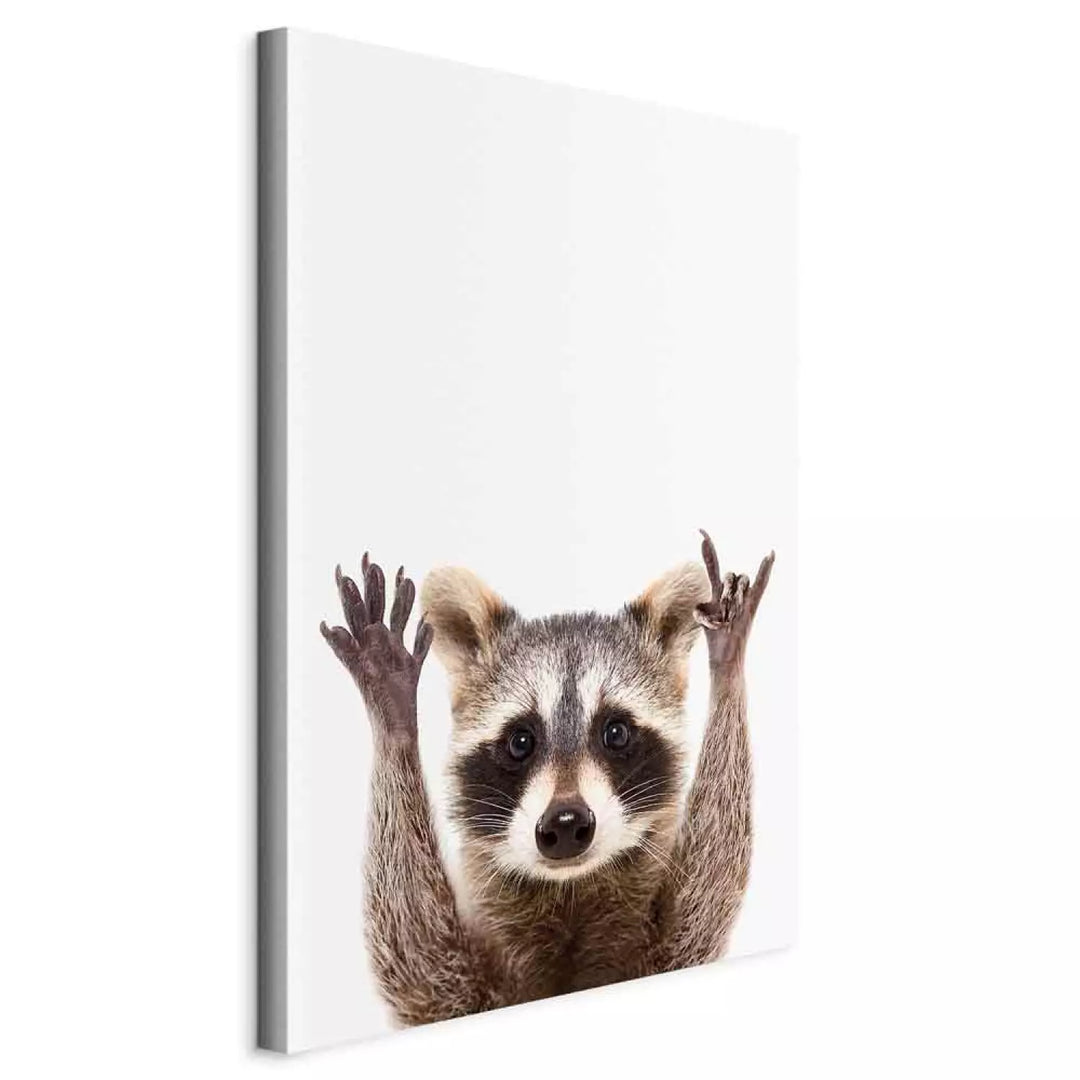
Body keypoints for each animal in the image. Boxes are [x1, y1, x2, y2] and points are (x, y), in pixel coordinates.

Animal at [320, 531, 773, 1027]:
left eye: (615, 732)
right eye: (521, 741)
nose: (566, 823)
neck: (570, 891)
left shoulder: (670, 952)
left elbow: (706, 895)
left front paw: (727, 664)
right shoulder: (456, 989)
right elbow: (416, 959)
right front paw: (393, 715)